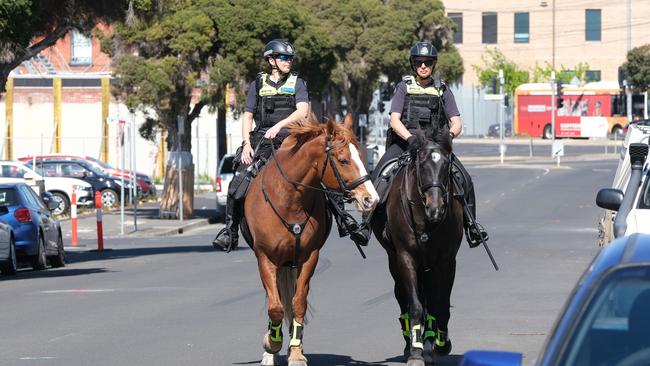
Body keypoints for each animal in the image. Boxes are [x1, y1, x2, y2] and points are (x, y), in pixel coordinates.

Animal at [240, 117, 378, 366]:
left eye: (361, 156)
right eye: (343, 160)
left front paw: (296, 352)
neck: (289, 198)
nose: (371, 199)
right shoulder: (266, 258)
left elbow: (298, 303)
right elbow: (275, 307)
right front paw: (271, 344)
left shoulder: (309, 258)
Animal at [368, 132, 464, 366]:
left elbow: (440, 304)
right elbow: (416, 306)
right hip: (395, 260)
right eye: (422, 165)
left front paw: (441, 344)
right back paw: (411, 344)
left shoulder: (447, 261)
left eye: (447, 164)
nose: (435, 208)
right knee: (403, 295)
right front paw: (416, 351)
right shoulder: (406, 257)